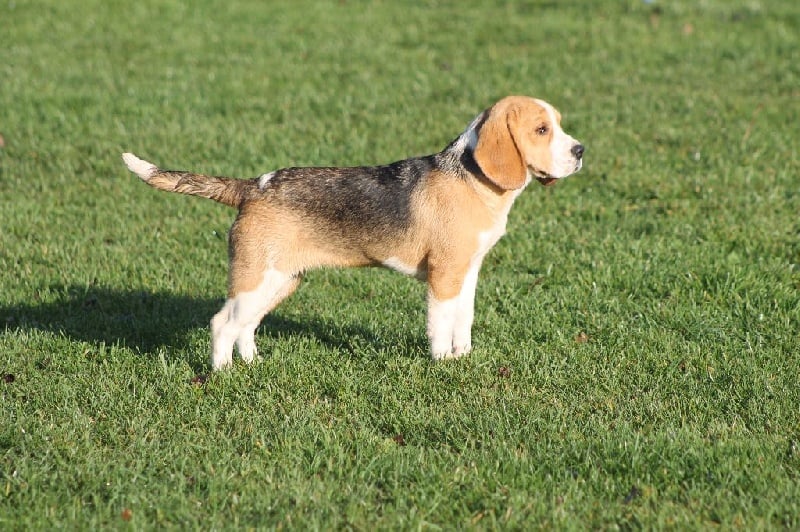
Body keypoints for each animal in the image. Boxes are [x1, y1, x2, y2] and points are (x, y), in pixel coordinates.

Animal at [120, 95, 580, 370]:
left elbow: (462, 320)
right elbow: (440, 324)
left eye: (559, 125)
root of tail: (254, 186)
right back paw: (223, 375)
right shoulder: (444, 275)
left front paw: (462, 356)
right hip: (255, 279)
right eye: (541, 130)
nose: (580, 151)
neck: (471, 177)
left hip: (279, 280)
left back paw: (252, 365)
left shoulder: (466, 274)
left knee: (245, 326)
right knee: (221, 324)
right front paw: (442, 364)